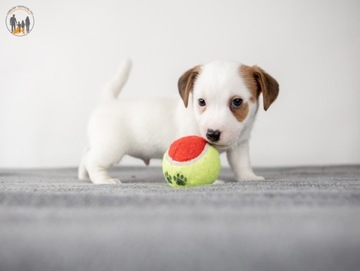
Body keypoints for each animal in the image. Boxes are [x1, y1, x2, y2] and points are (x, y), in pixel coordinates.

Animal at [80, 59, 280, 185]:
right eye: (201, 101)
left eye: (237, 102)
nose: (212, 134)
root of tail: (108, 101)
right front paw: (213, 180)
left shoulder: (240, 145)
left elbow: (242, 164)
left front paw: (248, 177)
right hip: (111, 148)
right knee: (93, 161)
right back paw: (103, 179)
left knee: (86, 154)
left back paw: (83, 176)